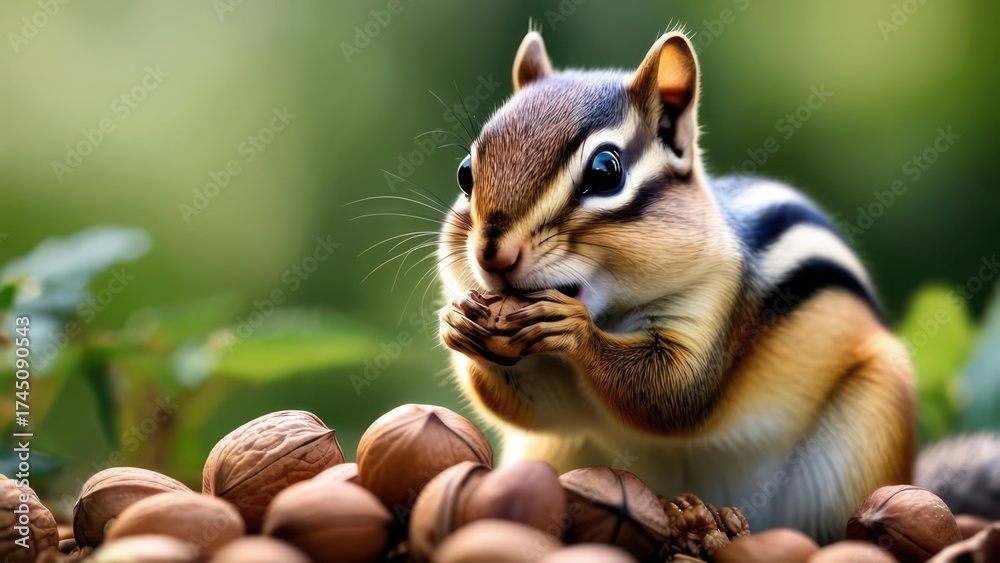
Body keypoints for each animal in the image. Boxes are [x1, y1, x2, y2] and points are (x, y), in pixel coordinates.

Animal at [436, 30, 916, 543]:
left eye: (605, 172)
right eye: (465, 172)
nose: (493, 254)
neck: (613, 312)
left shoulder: (715, 303)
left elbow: (674, 393)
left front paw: (572, 327)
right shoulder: (557, 410)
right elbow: (540, 410)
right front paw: (457, 322)